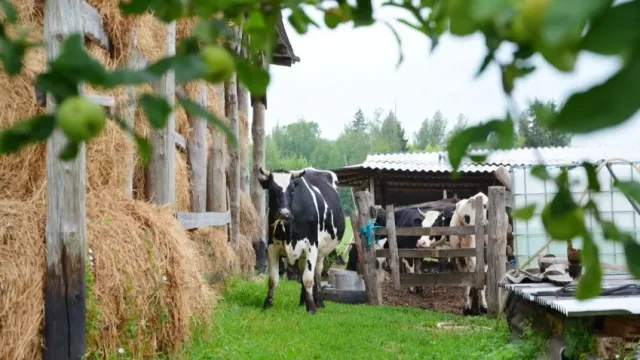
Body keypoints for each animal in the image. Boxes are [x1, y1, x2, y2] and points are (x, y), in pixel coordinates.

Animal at [258, 167, 344, 314]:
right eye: (271, 190)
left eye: (292, 191)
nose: (284, 214)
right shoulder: (272, 247)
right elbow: (272, 279)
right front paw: (267, 304)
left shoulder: (311, 246)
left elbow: (308, 279)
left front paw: (312, 308)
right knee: (303, 270)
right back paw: (303, 300)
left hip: (321, 252)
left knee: (317, 273)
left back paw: (318, 301)